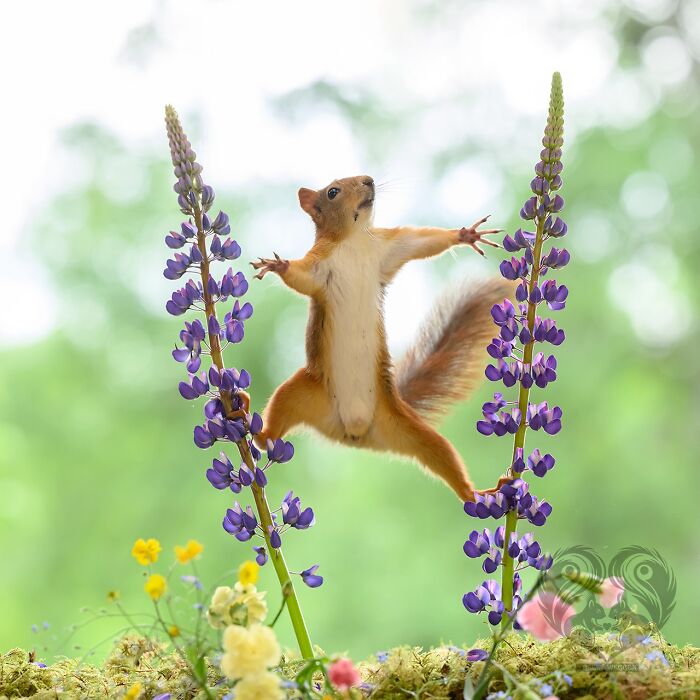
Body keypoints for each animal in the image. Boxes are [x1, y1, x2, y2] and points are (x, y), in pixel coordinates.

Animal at [250, 175, 513, 501]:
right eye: (332, 192)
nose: (369, 180)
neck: (354, 240)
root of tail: (353, 435)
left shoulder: (391, 247)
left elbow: (422, 242)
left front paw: (465, 234)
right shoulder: (318, 267)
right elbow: (300, 277)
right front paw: (279, 265)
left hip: (408, 429)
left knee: (440, 454)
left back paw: (477, 494)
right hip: (299, 394)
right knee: (268, 436)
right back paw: (248, 419)